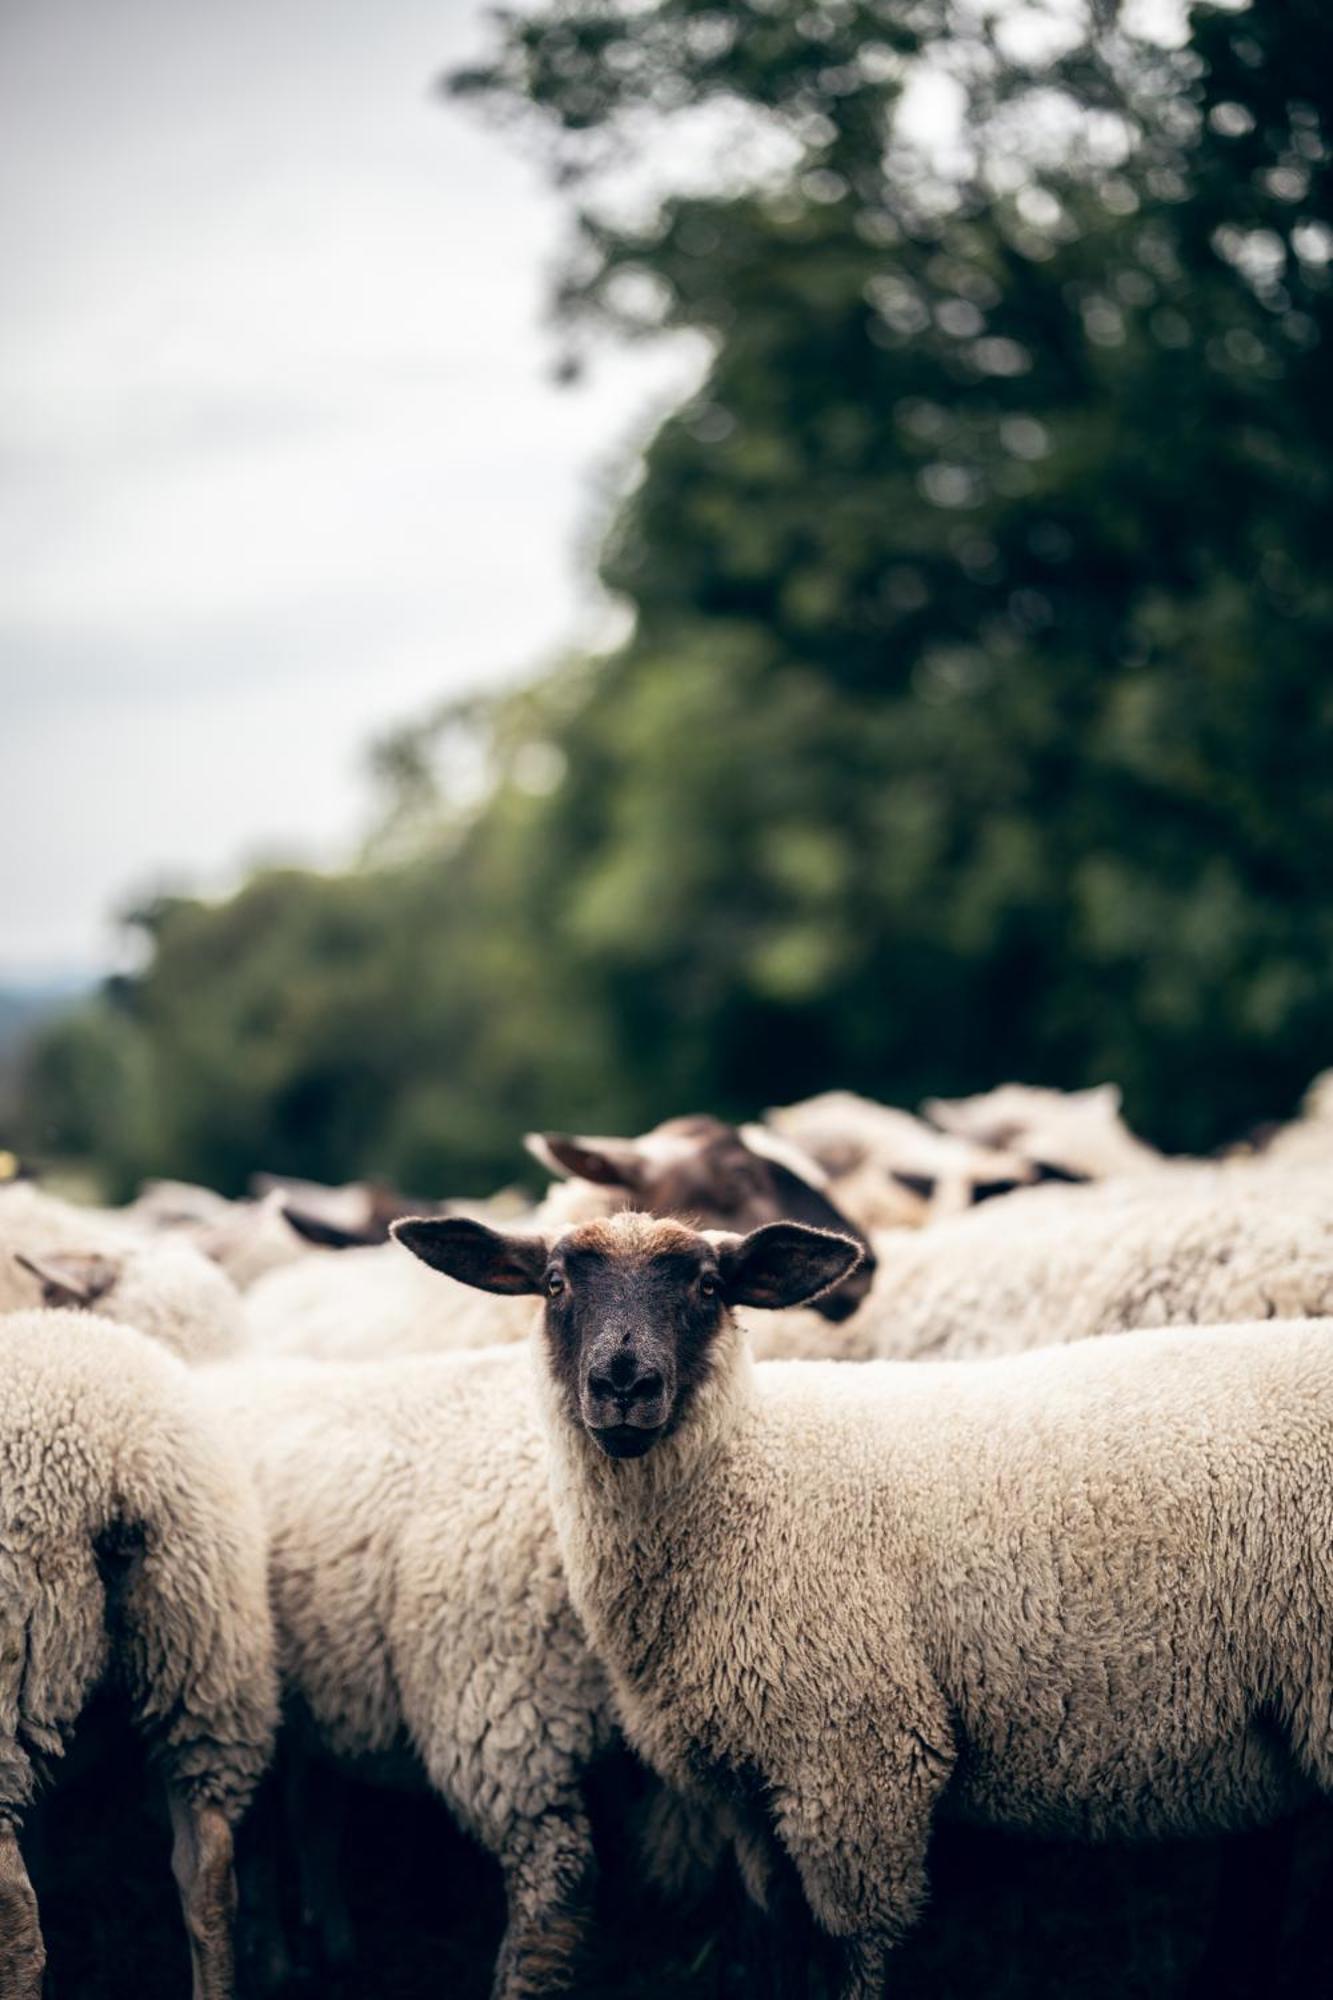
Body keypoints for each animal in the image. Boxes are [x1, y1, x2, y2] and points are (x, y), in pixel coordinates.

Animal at [396, 1208, 1333, 2000]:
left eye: (708, 1287)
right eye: (555, 1283)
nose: (623, 1382)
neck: (746, 1484)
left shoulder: (861, 1754)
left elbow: (857, 1948)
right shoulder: (752, 1785)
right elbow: (785, 1936)